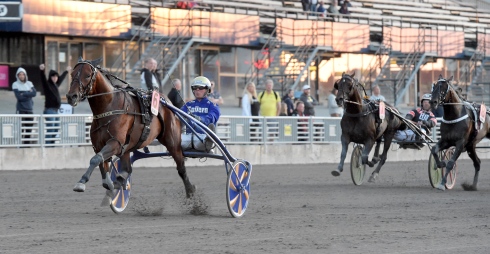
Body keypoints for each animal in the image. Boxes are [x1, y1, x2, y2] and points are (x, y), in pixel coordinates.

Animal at [65, 58, 195, 198]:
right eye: (72, 74)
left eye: (87, 75)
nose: (71, 96)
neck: (109, 107)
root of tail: (167, 101)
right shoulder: (99, 146)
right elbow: (101, 161)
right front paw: (109, 183)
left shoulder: (115, 143)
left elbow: (96, 159)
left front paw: (81, 182)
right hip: (127, 149)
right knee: (127, 169)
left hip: (172, 141)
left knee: (181, 166)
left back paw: (190, 190)